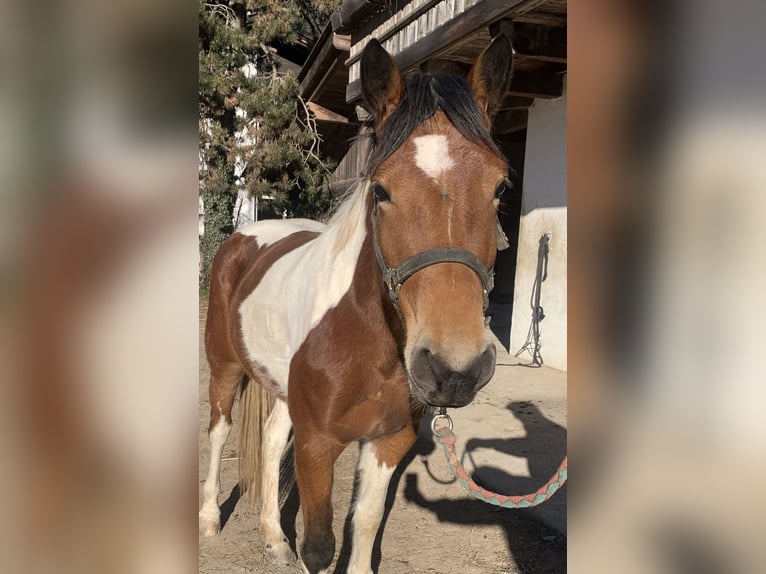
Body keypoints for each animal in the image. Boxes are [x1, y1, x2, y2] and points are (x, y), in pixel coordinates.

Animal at [199, 34, 514, 574]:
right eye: (381, 189)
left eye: (499, 187)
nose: (454, 370)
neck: (367, 338)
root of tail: (245, 235)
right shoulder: (317, 445)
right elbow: (320, 546)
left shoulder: (389, 440)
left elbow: (364, 523)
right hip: (224, 367)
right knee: (219, 431)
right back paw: (208, 519)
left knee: (270, 438)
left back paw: (273, 537)